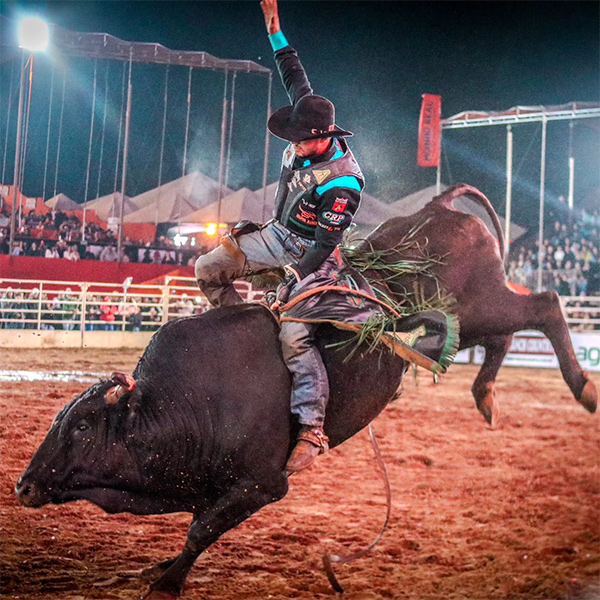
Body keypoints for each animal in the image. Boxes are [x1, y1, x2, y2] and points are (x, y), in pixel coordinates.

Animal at [16, 184, 596, 600]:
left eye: (83, 426)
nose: (22, 485)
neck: (180, 406)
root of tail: (435, 209)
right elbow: (199, 523)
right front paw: (161, 568)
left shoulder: (262, 485)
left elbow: (201, 530)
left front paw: (165, 583)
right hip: (467, 320)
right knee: (503, 335)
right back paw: (488, 395)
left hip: (480, 304)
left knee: (543, 305)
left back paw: (581, 388)